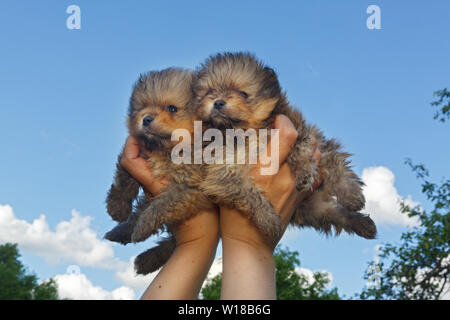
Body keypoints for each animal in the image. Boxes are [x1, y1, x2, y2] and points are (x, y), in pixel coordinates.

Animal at [105, 68, 213, 276]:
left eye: (172, 108)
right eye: (142, 107)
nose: (146, 119)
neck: (165, 151)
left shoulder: (190, 187)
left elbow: (162, 204)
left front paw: (143, 227)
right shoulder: (136, 155)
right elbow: (124, 180)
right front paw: (117, 207)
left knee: (170, 242)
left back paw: (148, 258)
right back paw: (120, 232)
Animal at [196, 52, 376, 239]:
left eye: (243, 94)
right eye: (209, 92)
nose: (218, 102)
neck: (245, 132)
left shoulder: (296, 127)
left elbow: (300, 148)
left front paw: (304, 172)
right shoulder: (221, 173)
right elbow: (248, 194)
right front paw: (269, 219)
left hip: (320, 147)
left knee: (333, 160)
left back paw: (352, 195)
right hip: (313, 211)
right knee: (334, 214)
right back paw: (362, 223)